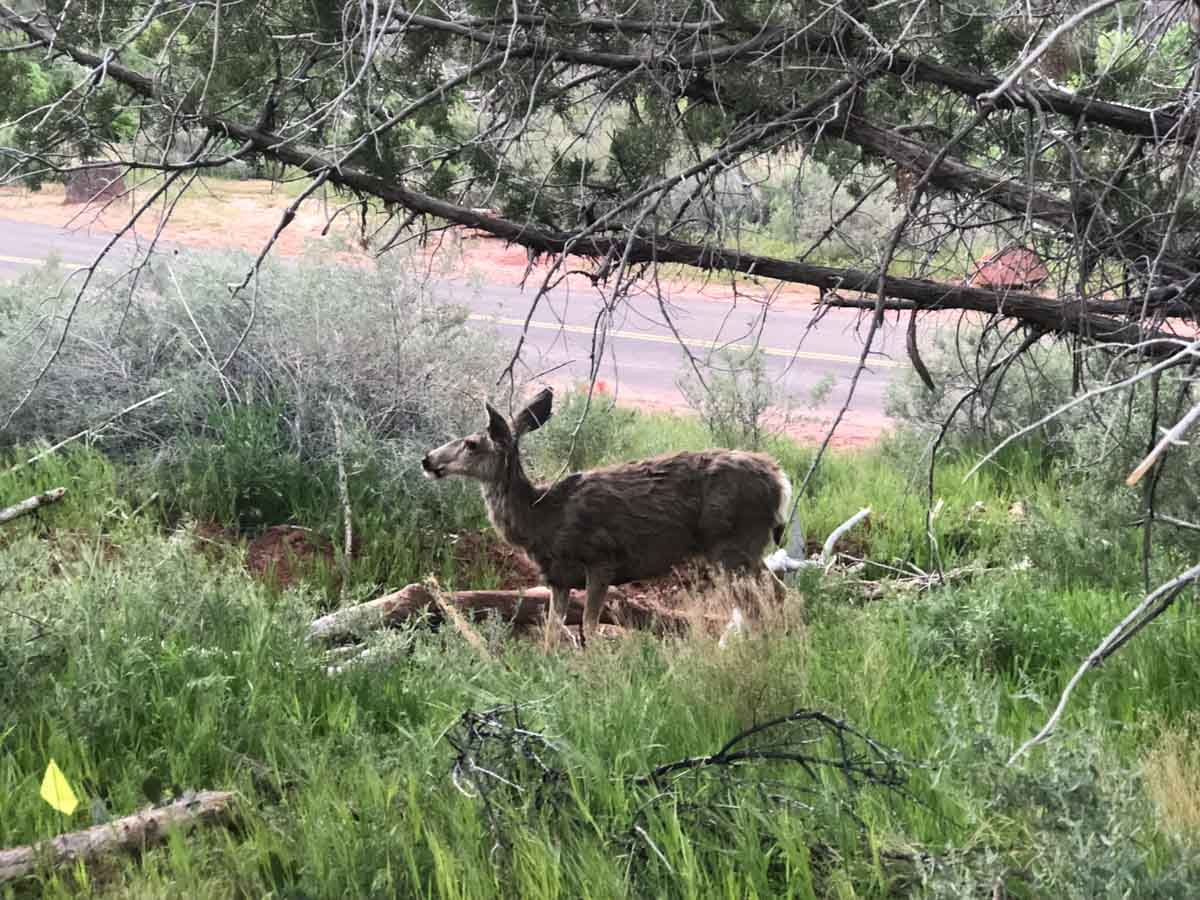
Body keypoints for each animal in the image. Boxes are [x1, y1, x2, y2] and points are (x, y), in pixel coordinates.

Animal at [422, 388, 796, 648]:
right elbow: (552, 630)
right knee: (776, 597)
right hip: (743, 551)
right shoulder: (558, 578)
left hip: (733, 546)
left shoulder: (601, 559)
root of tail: (780, 480)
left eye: (471, 443)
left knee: (766, 601)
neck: (543, 517)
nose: (427, 459)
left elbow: (588, 627)